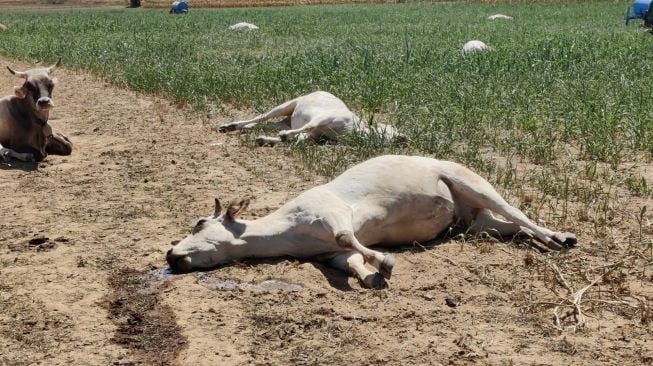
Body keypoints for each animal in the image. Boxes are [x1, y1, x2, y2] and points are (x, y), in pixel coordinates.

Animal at [168, 154, 576, 288]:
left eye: (200, 222)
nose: (171, 256)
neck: (285, 230)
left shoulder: (332, 213)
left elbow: (348, 239)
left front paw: (385, 262)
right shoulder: (327, 255)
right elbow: (348, 260)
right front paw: (370, 276)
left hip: (472, 183)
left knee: (518, 213)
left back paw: (560, 238)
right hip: (476, 222)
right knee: (512, 226)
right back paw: (552, 239)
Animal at [218, 91, 402, 147]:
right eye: (390, 128)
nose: (404, 138)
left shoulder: (316, 135)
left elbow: (301, 137)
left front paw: (269, 139)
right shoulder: (324, 118)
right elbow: (306, 128)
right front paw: (284, 136)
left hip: (286, 120)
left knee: (266, 125)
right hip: (287, 105)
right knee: (262, 117)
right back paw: (228, 126)